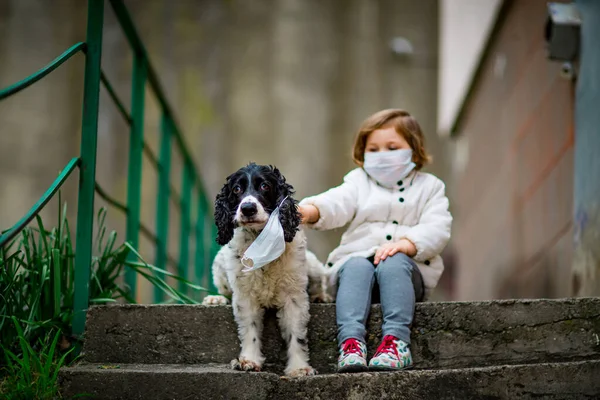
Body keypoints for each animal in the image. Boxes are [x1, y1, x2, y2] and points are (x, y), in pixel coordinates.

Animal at [204, 162, 330, 376]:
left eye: (265, 186)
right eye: (236, 189)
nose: (247, 208)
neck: (262, 241)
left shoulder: (293, 296)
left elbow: (296, 335)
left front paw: (299, 368)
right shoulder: (245, 294)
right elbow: (250, 330)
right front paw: (249, 360)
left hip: (313, 268)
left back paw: (321, 296)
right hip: (220, 266)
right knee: (224, 290)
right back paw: (215, 299)